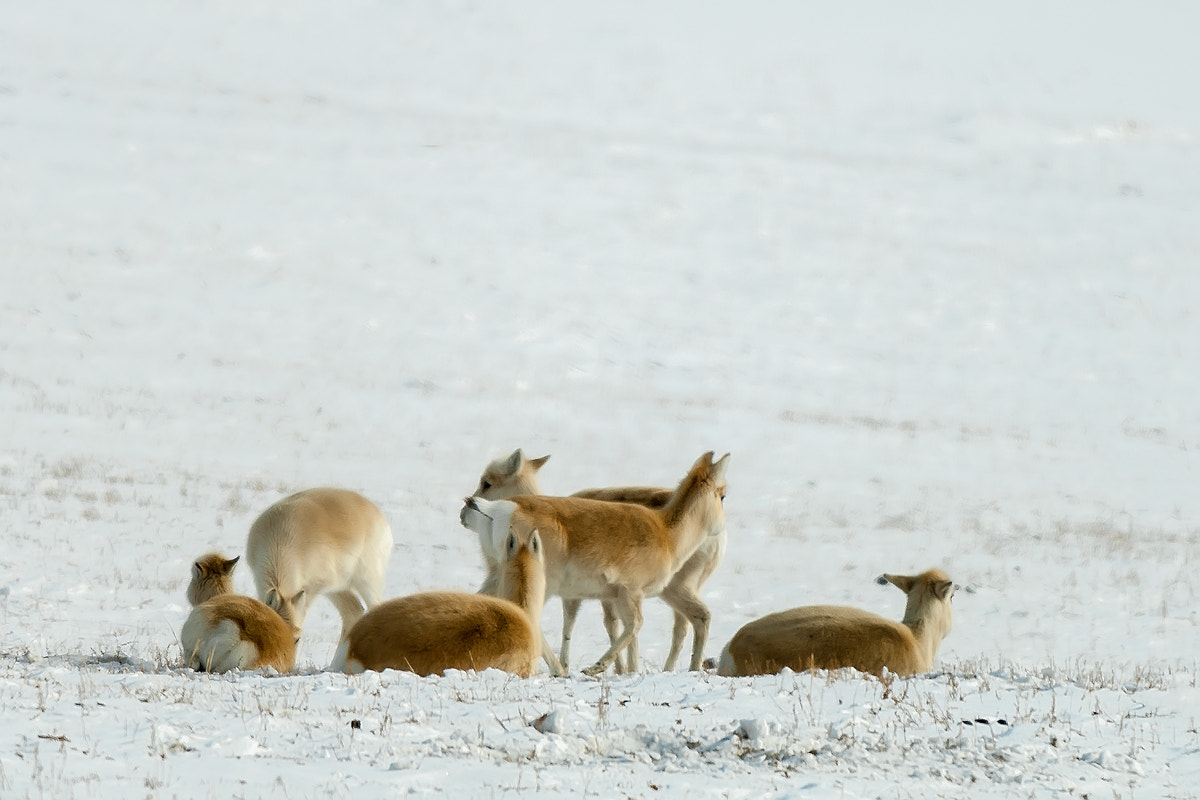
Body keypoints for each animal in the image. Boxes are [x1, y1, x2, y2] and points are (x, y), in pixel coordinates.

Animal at [245, 488, 393, 642]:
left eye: (297, 639)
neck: (281, 543)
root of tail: (378, 513)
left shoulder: (311, 590)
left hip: (366, 582)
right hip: (338, 589)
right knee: (354, 612)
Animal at [462, 450, 729, 676]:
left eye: (487, 483)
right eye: (722, 495)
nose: (464, 511)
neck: (665, 531)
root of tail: (501, 509)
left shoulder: (616, 597)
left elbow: (622, 629)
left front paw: (624, 671)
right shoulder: (627, 593)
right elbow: (631, 626)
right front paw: (596, 667)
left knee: (693, 620)